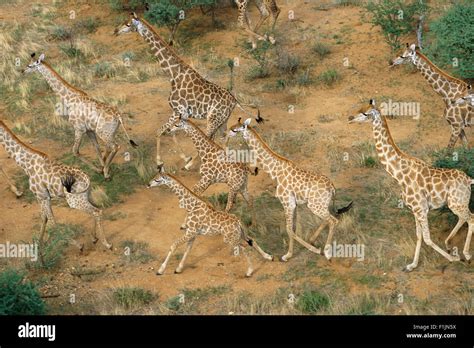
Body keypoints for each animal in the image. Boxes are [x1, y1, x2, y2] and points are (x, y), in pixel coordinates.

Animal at [0, 119, 112, 260]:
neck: (26, 164)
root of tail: (87, 180)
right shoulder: (43, 197)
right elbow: (44, 219)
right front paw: (38, 251)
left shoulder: (42, 196)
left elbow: (52, 221)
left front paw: (79, 246)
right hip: (87, 196)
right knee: (96, 209)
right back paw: (94, 238)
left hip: (75, 201)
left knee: (96, 212)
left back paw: (107, 244)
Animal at [22, 53, 137, 182]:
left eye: (30, 65)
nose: (23, 71)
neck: (69, 99)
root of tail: (118, 117)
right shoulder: (89, 130)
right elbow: (96, 147)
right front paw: (101, 167)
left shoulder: (78, 128)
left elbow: (75, 151)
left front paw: (99, 170)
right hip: (108, 133)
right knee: (109, 146)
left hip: (103, 132)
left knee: (115, 146)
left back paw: (107, 174)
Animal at [115, 14, 262, 169]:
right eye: (124, 22)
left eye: (128, 24)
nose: (115, 31)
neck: (173, 74)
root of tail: (235, 101)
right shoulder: (180, 113)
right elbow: (170, 131)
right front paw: (184, 157)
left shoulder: (178, 110)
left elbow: (160, 131)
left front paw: (162, 161)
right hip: (223, 119)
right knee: (224, 138)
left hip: (213, 119)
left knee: (210, 138)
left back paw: (190, 165)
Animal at [228, 118, 354, 260]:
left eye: (235, 129)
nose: (228, 133)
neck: (274, 171)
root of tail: (332, 187)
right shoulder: (294, 204)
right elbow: (292, 229)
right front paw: (290, 254)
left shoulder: (287, 202)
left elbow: (289, 230)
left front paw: (291, 254)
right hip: (320, 205)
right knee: (328, 219)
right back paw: (312, 239)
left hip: (315, 205)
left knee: (333, 221)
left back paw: (326, 252)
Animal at [346, 99, 472, 270]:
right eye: (359, 108)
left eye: (365, 113)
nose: (350, 118)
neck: (399, 175)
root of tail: (469, 180)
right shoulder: (415, 210)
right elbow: (419, 236)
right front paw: (412, 265)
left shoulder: (421, 208)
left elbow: (427, 238)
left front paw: (453, 259)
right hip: (456, 203)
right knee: (464, 218)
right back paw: (449, 244)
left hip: (457, 203)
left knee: (470, 218)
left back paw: (465, 255)